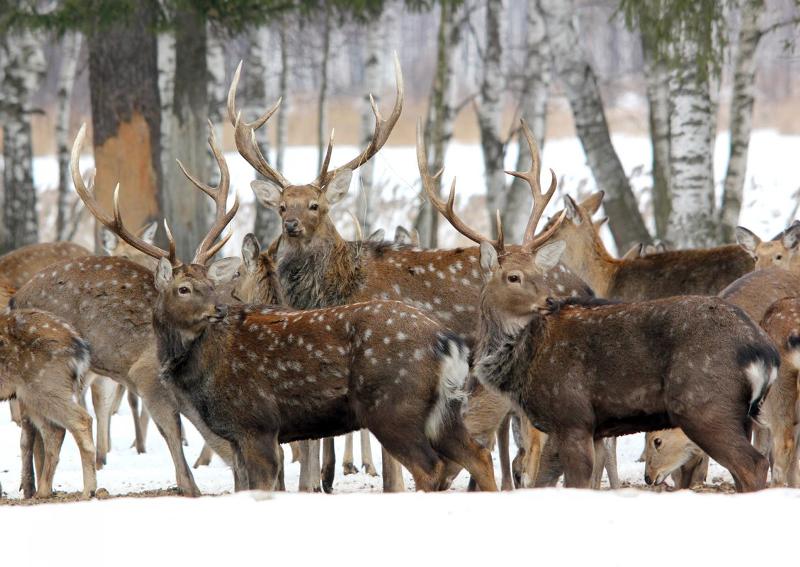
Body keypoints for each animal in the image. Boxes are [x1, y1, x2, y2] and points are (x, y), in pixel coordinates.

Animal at [0, 308, 96, 500]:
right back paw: (43, 491)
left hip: (43, 386)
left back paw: (88, 490)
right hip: (31, 395)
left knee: (81, 420)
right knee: (55, 430)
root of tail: (80, 347)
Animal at [12, 123, 242, 496]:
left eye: (211, 282)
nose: (220, 308)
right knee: (38, 427)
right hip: (44, 367)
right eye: (183, 288)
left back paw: (36, 487)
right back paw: (40, 487)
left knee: (36, 428)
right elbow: (172, 432)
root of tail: (16, 298)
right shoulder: (146, 376)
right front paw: (188, 486)